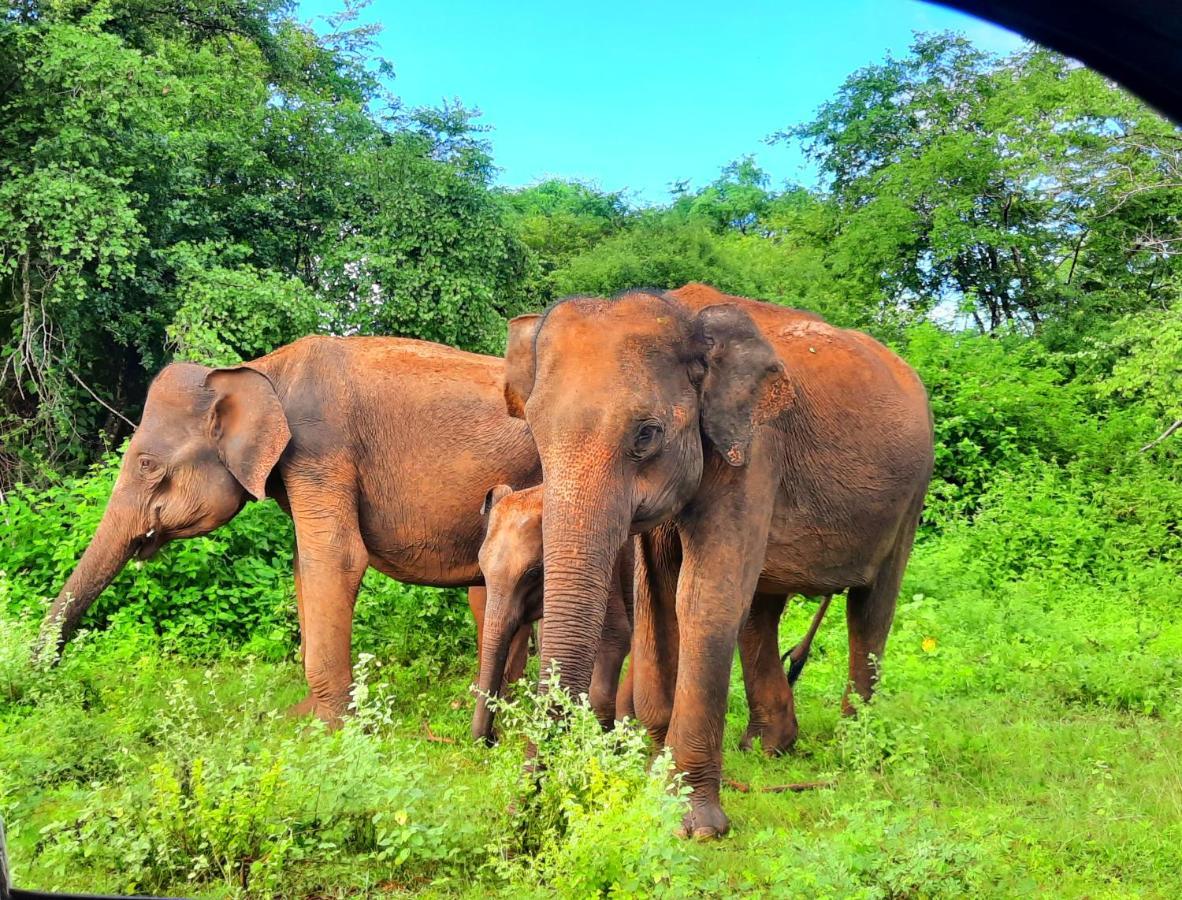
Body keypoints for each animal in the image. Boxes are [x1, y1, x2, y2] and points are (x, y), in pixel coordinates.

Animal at [32, 335, 541, 723]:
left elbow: (336, 557)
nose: (43, 679)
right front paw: (304, 714)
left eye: (147, 465)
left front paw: (323, 727)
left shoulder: (320, 448)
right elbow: (304, 564)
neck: (258, 372)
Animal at [503, 281, 936, 837]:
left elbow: (704, 598)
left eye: (646, 434)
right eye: (534, 431)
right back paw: (769, 748)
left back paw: (854, 750)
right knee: (762, 610)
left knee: (871, 610)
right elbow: (658, 600)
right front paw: (653, 774)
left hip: (912, 491)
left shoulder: (754, 448)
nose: (529, 819)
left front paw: (692, 825)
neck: (683, 315)